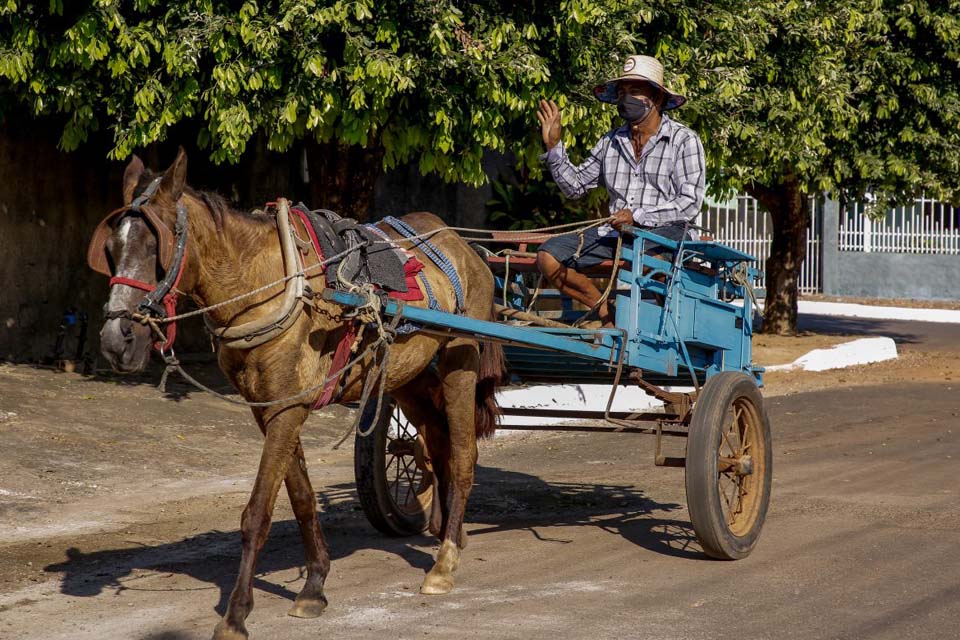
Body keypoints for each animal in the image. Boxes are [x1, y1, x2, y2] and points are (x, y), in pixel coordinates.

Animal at [93, 148, 506, 636]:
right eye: (112, 249)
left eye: (156, 245)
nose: (117, 340)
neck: (268, 283)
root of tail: (467, 249)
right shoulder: (268, 409)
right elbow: (302, 498)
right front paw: (314, 586)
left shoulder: (287, 409)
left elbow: (257, 512)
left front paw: (236, 613)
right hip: (411, 379)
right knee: (437, 447)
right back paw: (449, 533)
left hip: (460, 367)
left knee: (462, 458)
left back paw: (444, 563)